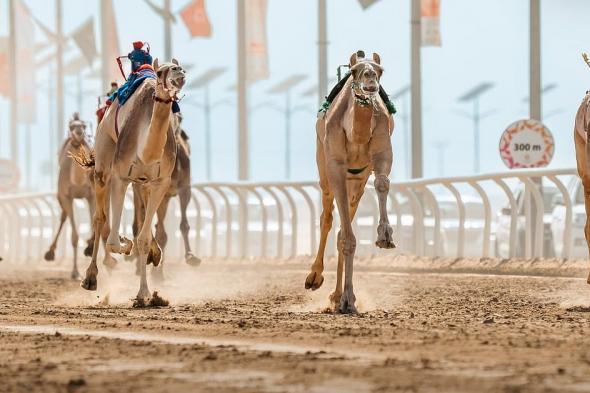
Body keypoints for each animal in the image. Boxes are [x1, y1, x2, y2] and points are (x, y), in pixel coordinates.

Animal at [44, 115, 116, 280]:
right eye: (71, 126)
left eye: (83, 126)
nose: (78, 132)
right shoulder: (66, 196)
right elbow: (74, 237)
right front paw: (75, 272)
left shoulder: (91, 195)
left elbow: (97, 224)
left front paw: (106, 260)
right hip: (61, 197)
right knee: (63, 217)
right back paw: (50, 252)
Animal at [75, 59, 187, 304]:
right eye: (161, 72)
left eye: (181, 67)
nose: (179, 73)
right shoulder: (120, 176)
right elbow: (114, 241)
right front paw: (126, 244)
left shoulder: (160, 182)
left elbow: (143, 238)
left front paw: (144, 293)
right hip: (104, 157)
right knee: (100, 217)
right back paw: (90, 278)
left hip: (142, 182)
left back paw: (154, 253)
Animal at [132, 112, 201, 280]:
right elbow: (158, 231)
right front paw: (156, 272)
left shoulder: (184, 188)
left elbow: (183, 225)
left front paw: (191, 257)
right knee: (140, 221)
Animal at [306, 52, 398, 314]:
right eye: (356, 71)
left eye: (380, 70)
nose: (370, 79)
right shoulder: (335, 167)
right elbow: (346, 236)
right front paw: (347, 299)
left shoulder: (381, 153)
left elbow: (383, 182)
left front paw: (385, 236)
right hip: (324, 170)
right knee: (326, 219)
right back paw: (315, 278)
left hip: (356, 181)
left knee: (340, 227)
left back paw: (336, 297)